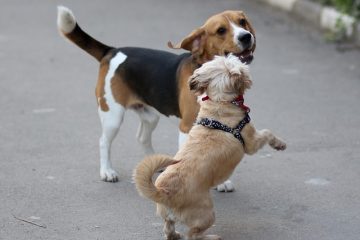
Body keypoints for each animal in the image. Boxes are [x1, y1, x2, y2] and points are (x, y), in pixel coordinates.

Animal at [133, 54, 286, 240]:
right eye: (238, 64)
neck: (219, 102)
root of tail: (165, 191)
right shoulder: (251, 142)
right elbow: (267, 133)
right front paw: (279, 144)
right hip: (206, 213)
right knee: (193, 235)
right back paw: (211, 237)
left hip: (168, 217)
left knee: (168, 229)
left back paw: (175, 234)